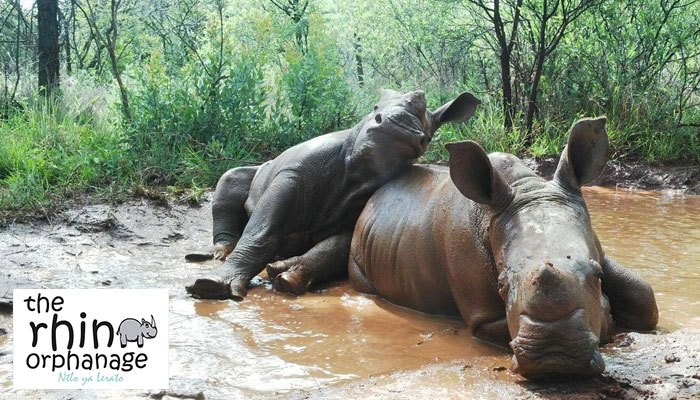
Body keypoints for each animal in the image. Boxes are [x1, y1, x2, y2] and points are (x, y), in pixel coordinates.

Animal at [186, 89, 481, 300]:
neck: (358, 170)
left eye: (428, 134)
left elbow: (336, 247)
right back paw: (219, 254)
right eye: (374, 109)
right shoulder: (293, 172)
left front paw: (289, 279)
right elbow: (259, 232)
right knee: (231, 176)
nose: (394, 126)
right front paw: (212, 285)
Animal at [348, 117, 658, 379]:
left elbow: (644, 295)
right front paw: (608, 316)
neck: (525, 187)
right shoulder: (481, 316)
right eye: (501, 284)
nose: (556, 356)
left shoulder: (597, 248)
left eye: (597, 276)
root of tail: (374, 196)